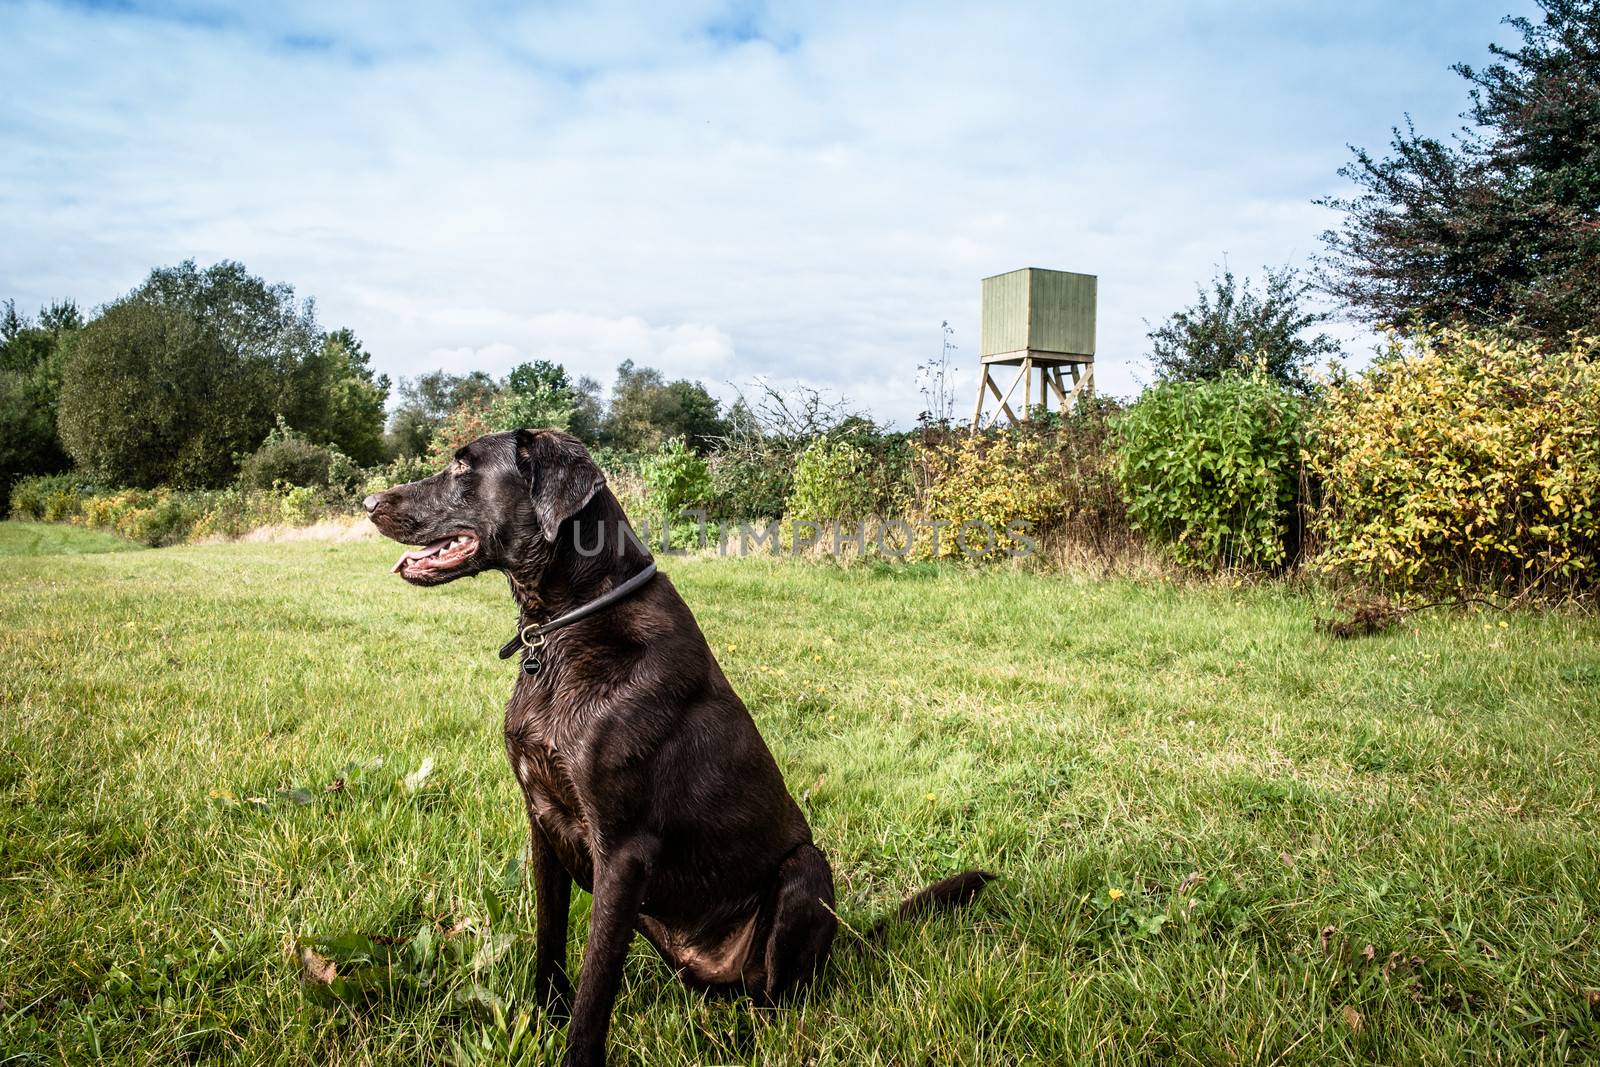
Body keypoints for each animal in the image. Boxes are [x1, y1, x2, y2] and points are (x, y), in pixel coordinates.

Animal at [366, 428, 985, 1062]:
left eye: (463, 467)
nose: (369, 504)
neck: (566, 629)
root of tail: (844, 939)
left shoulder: (622, 853)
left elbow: (595, 987)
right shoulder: (542, 823)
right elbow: (550, 942)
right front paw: (542, 1021)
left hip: (805, 870)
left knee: (779, 997)